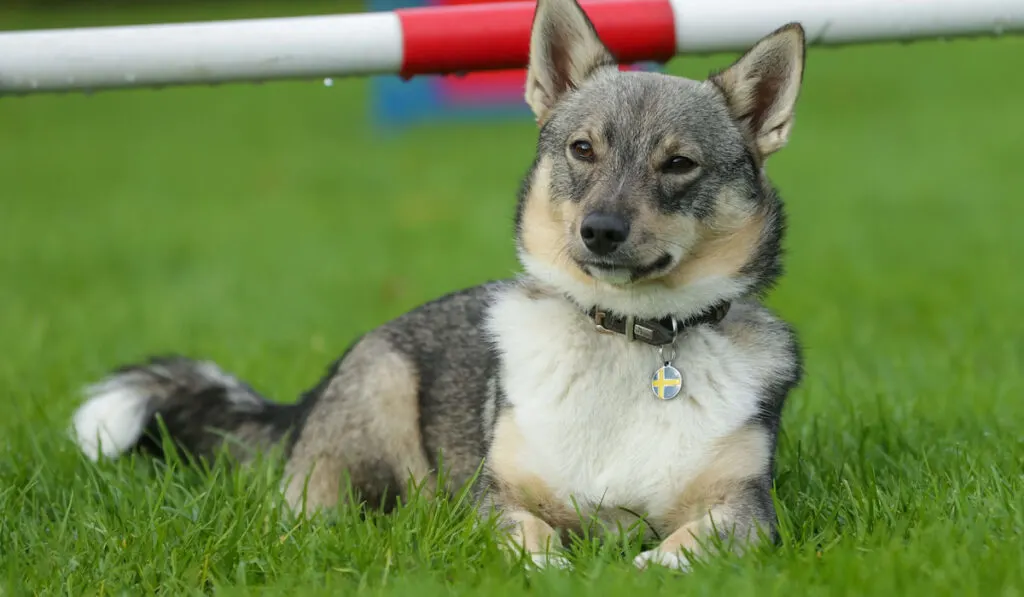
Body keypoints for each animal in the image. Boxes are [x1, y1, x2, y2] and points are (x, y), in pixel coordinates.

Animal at [70, 0, 806, 573]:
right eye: (583, 150)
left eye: (679, 164)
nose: (599, 231)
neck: (625, 340)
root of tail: (308, 395)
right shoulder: (493, 498)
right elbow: (531, 536)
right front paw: (551, 566)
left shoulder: (749, 511)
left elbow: (689, 545)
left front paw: (652, 564)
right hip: (377, 408)